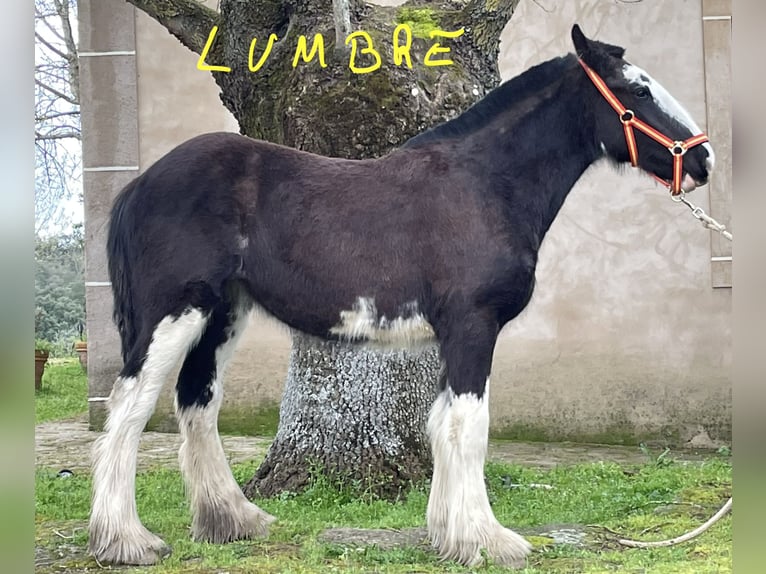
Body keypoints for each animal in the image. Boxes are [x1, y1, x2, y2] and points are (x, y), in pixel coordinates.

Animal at [89, 24, 714, 568]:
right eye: (638, 89)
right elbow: (470, 427)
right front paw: (489, 541)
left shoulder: (451, 336)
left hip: (222, 314)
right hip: (175, 313)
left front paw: (451, 534)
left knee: (198, 402)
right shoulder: (472, 325)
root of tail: (140, 185)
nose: (702, 159)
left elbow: (441, 425)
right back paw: (128, 541)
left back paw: (232, 520)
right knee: (131, 407)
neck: (484, 185)